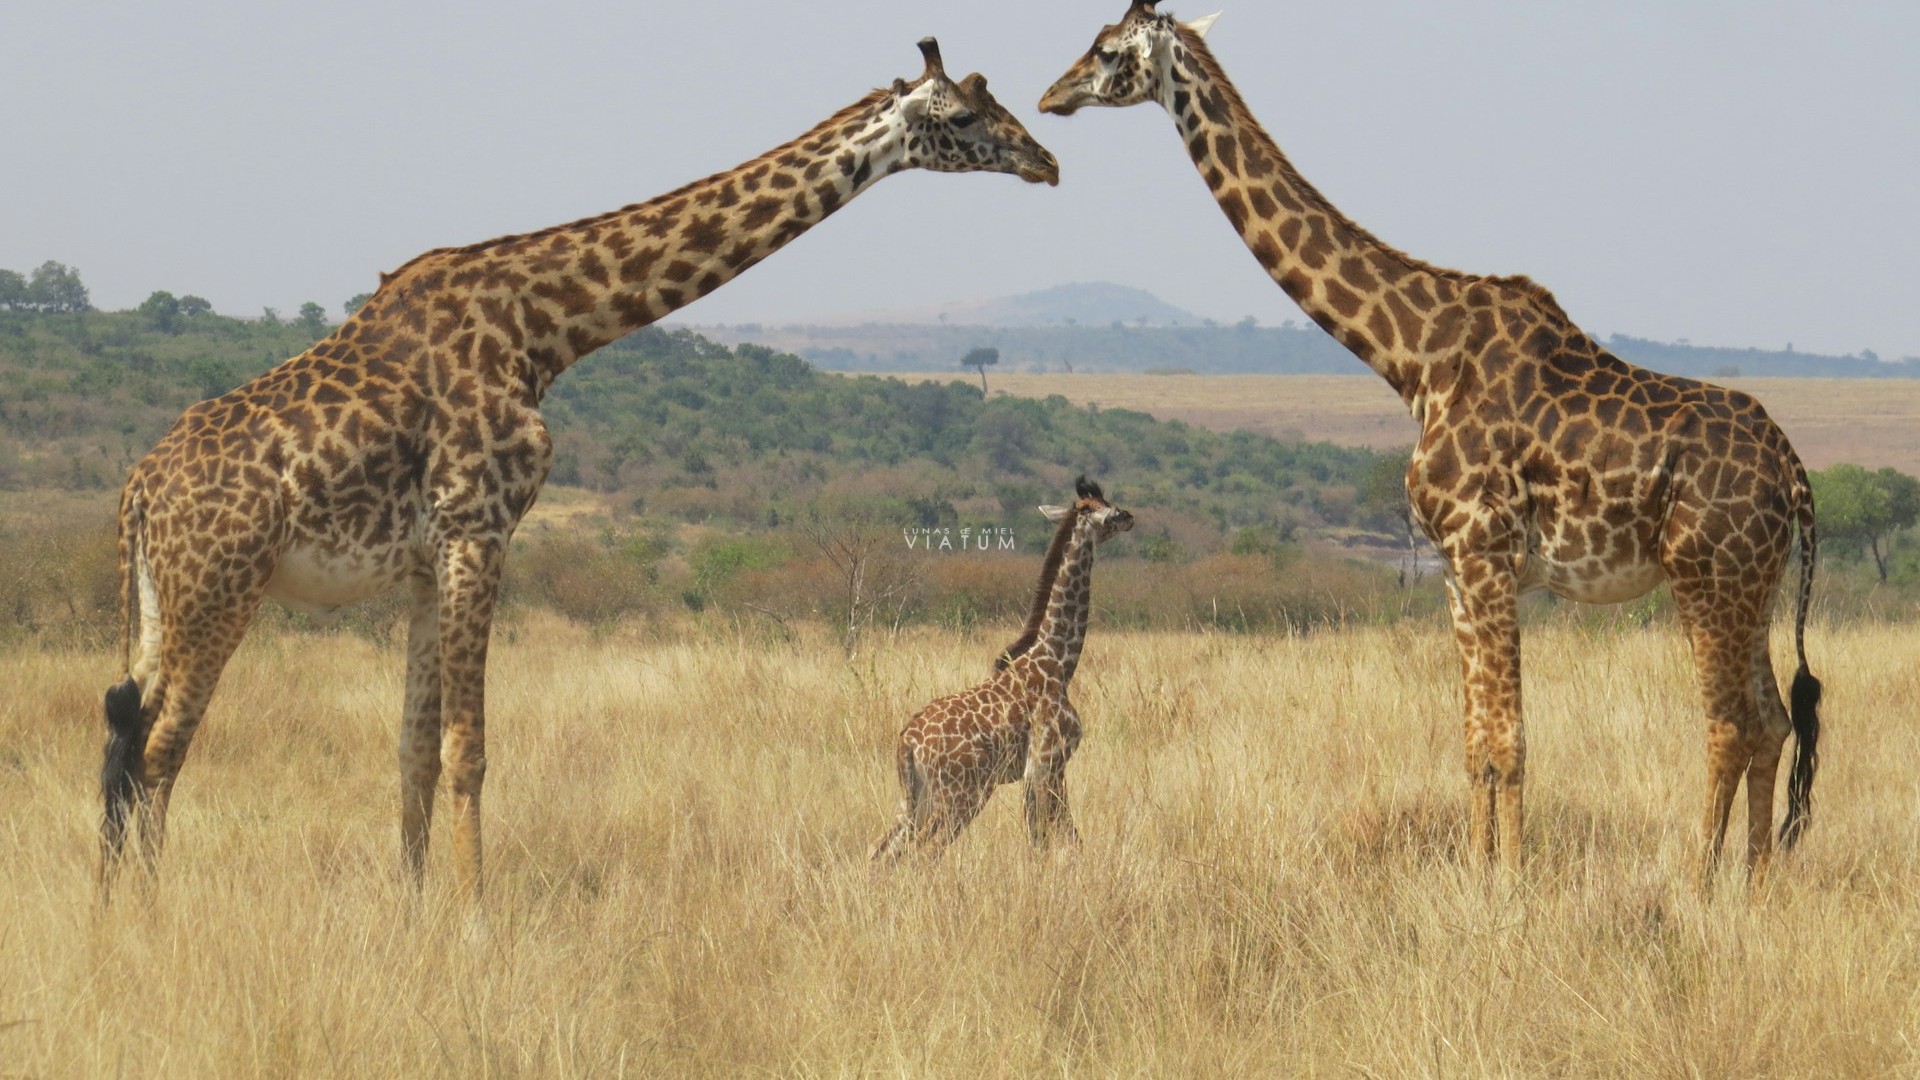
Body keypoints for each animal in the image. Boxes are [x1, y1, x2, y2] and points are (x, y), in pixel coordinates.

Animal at [97, 39, 1059, 899]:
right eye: (965, 116)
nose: (1045, 159)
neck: (544, 326)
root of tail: (139, 495)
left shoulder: (426, 561)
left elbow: (412, 750)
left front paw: (413, 912)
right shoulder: (479, 529)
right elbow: (468, 750)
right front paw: (475, 922)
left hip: (158, 602)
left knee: (122, 733)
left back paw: (112, 907)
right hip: (221, 589)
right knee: (161, 749)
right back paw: (151, 912)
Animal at [871, 476, 1121, 857]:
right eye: (1113, 512)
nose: (1131, 518)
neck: (1058, 662)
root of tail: (907, 743)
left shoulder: (1035, 773)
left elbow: (1039, 839)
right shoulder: (1050, 762)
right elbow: (1066, 835)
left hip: (916, 799)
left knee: (881, 851)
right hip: (962, 795)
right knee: (925, 852)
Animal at [1044, 2, 1820, 883]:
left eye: (1108, 51)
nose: (1050, 96)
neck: (1414, 358)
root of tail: (1793, 471)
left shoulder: (1485, 552)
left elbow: (1511, 741)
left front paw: (1512, 883)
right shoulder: (1455, 567)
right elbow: (1475, 742)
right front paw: (1479, 875)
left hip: (1706, 577)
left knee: (1728, 724)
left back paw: (1699, 883)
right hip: (1755, 583)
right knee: (1772, 721)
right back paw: (1755, 880)